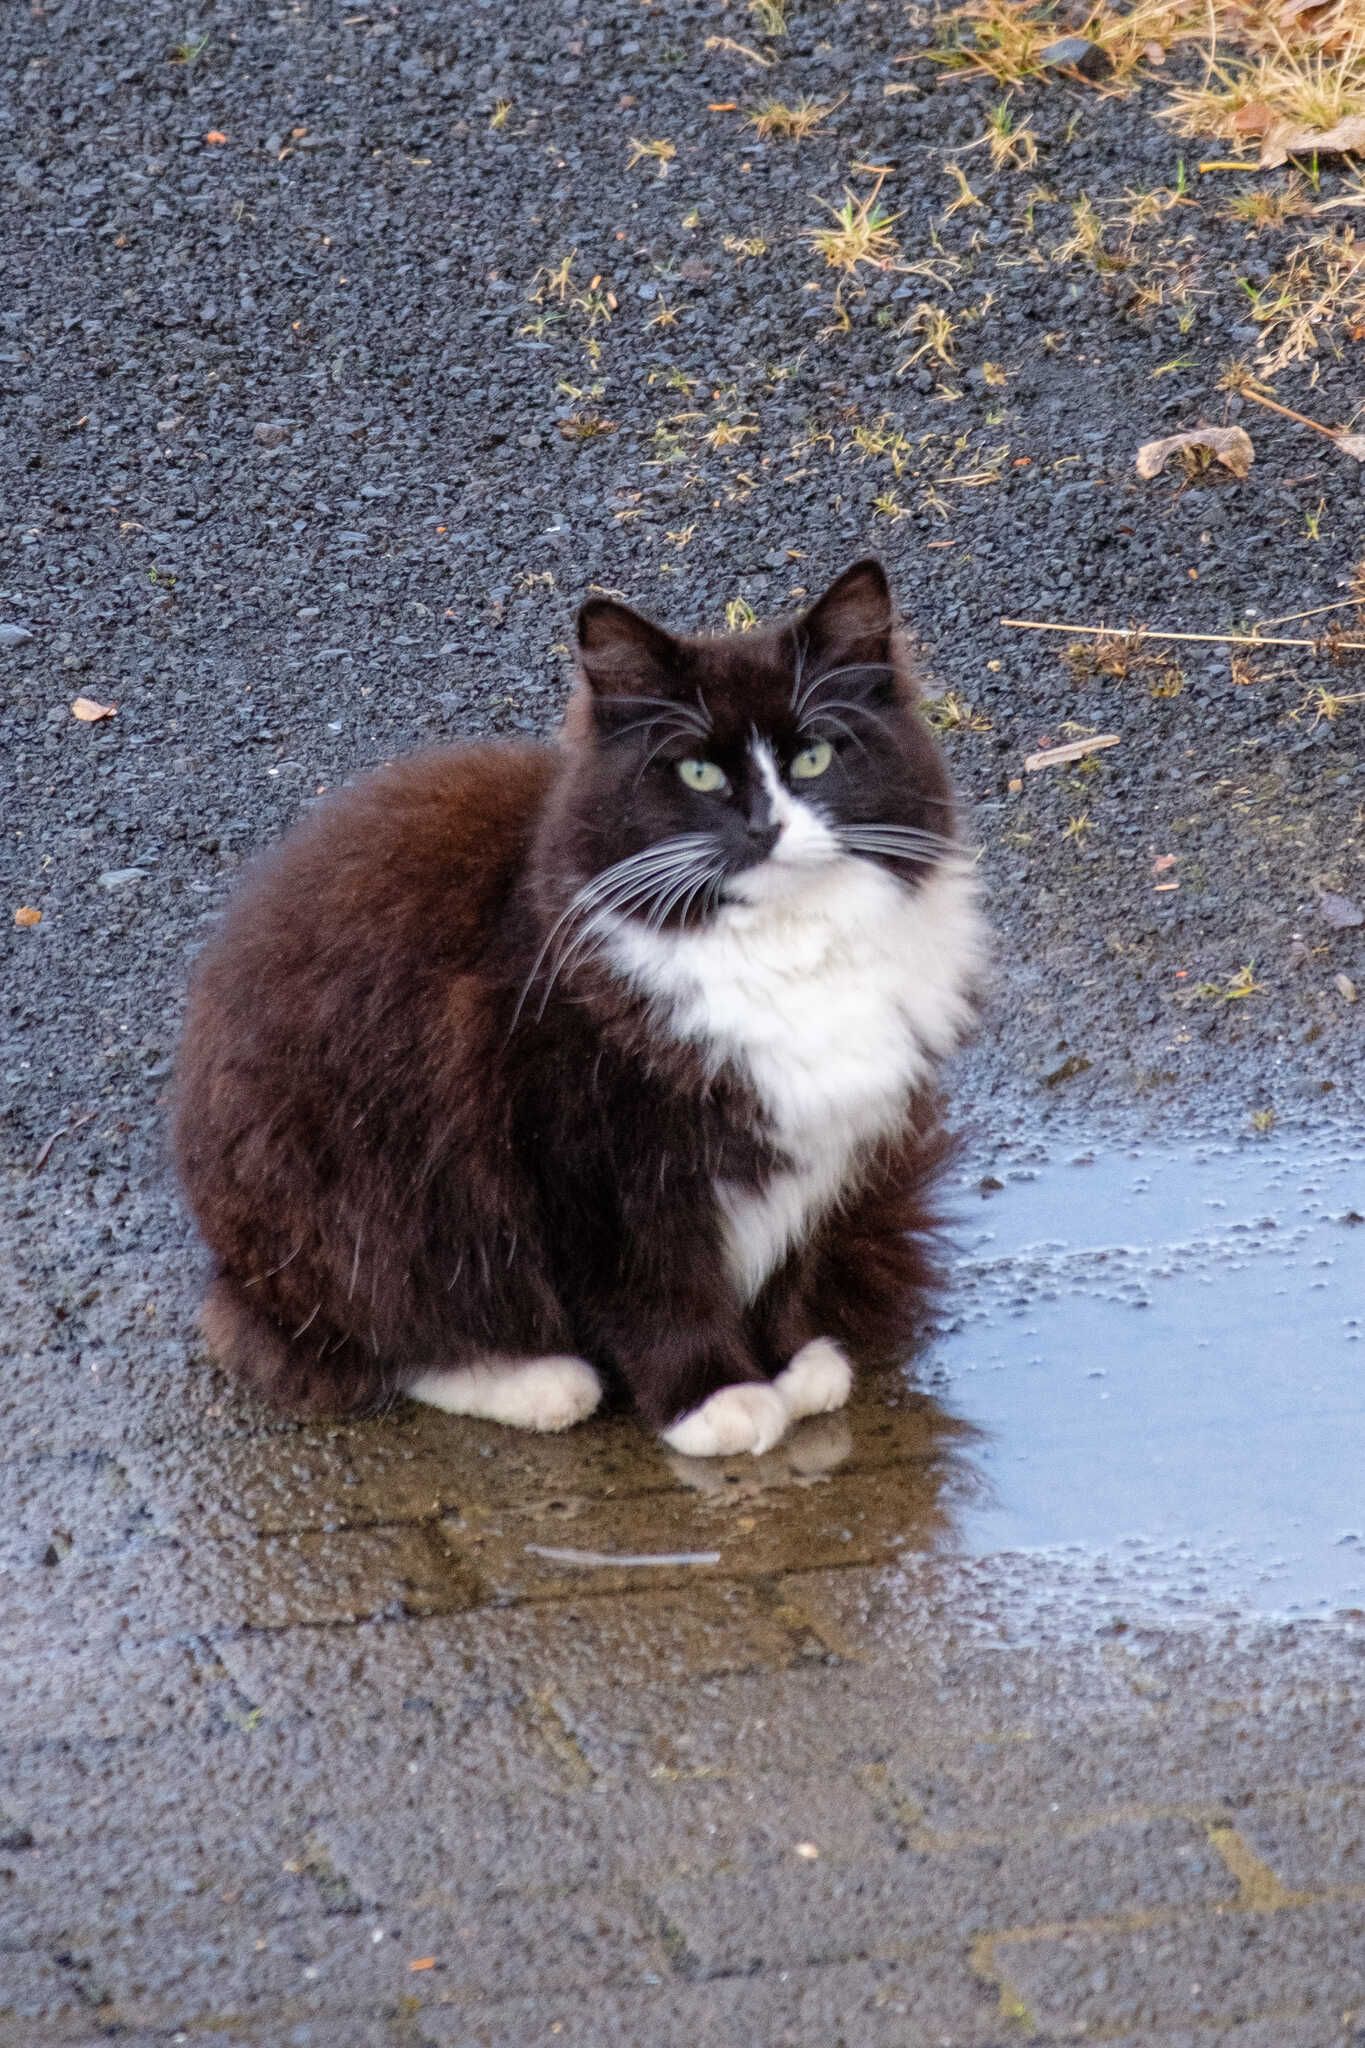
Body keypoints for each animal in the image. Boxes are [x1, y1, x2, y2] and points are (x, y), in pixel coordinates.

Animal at [175, 561, 986, 1458]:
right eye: (697, 775)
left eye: (811, 757)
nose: (765, 826)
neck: (781, 945)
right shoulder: (587, 1163)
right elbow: (657, 1293)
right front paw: (716, 1399)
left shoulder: (820, 1156)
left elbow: (783, 1271)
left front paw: (789, 1367)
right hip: (360, 1205)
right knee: (366, 1343)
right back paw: (540, 1381)